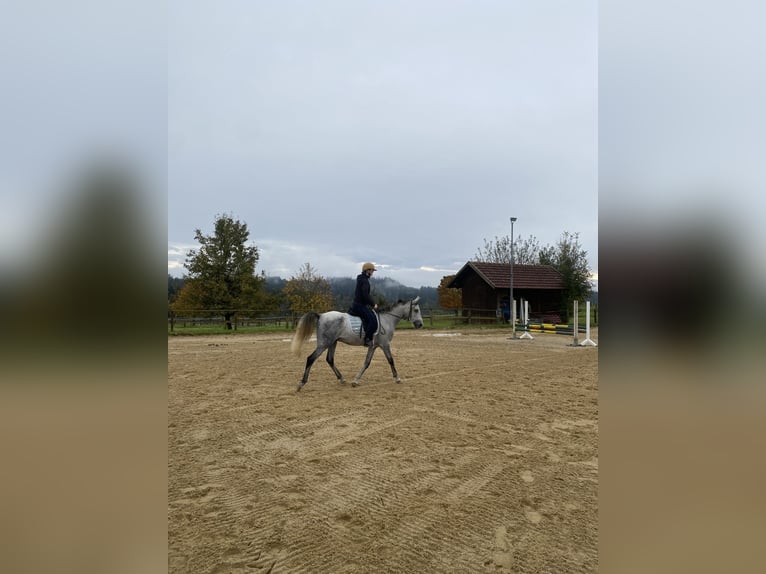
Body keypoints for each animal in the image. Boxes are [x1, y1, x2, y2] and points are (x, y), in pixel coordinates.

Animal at [292, 296, 426, 392]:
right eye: (416, 310)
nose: (420, 324)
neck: (387, 320)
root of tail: (321, 316)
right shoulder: (385, 345)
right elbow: (391, 360)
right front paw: (397, 378)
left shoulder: (373, 346)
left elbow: (367, 363)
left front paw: (355, 380)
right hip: (324, 343)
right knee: (311, 358)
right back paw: (301, 383)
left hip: (332, 343)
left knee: (329, 359)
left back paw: (342, 379)